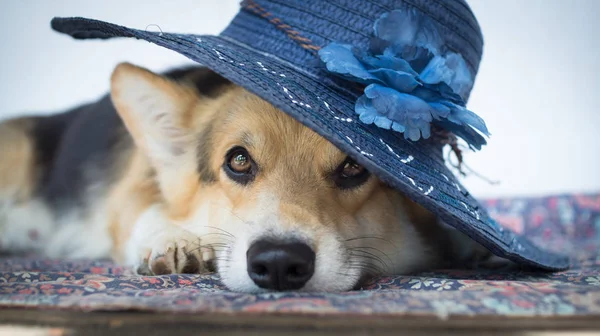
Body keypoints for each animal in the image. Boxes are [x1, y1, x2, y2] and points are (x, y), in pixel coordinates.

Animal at [0, 62, 488, 292]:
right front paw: (173, 239)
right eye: (238, 161)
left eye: (354, 167)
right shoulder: (129, 194)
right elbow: (145, 211)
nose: (279, 265)